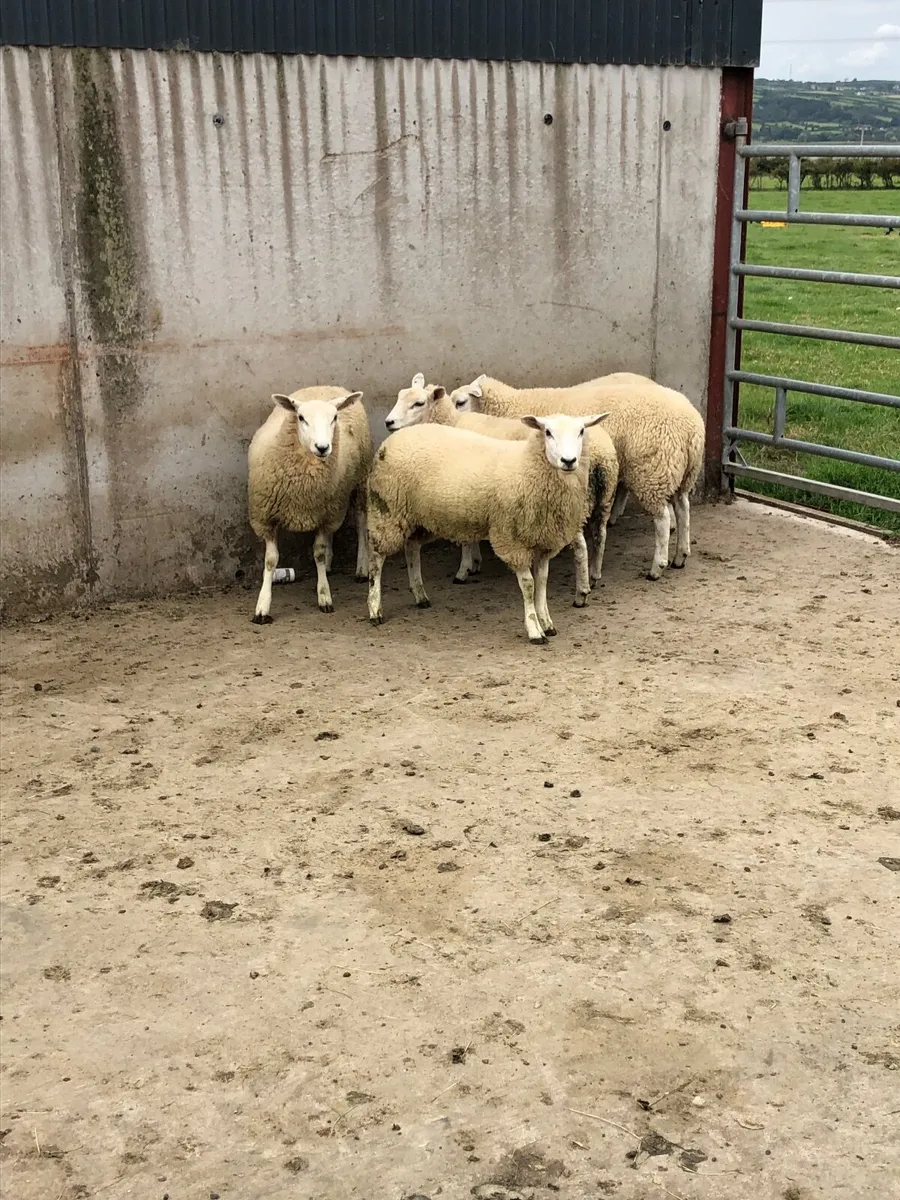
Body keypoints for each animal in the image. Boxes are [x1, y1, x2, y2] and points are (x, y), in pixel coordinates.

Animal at [247, 386, 373, 622]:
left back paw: (362, 567)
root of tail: (329, 387)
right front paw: (262, 606)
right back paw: (332, 564)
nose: (322, 447)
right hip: (331, 502)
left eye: (334, 418)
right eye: (301, 417)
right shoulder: (267, 518)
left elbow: (318, 554)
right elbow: (271, 561)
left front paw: (324, 596)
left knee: (361, 521)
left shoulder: (326, 514)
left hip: (359, 481)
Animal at [366, 412, 608, 645]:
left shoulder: (542, 541)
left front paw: (547, 623)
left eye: (581, 431)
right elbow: (529, 586)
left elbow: (542, 583)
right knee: (376, 559)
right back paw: (375, 609)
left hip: (421, 518)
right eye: (547, 432)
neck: (526, 466)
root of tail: (395, 437)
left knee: (412, 547)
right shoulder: (512, 541)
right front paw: (534, 630)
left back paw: (420, 595)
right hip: (386, 509)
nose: (569, 460)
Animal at [386, 374, 620, 602]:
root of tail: (602, 454)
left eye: (418, 403)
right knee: (600, 534)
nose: (389, 422)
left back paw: (581, 593)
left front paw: (463, 570)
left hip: (572, 505)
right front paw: (475, 562)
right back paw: (594, 576)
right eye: (398, 397)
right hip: (602, 499)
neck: (451, 422)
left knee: (581, 547)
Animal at [451, 373, 705, 581]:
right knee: (683, 507)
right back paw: (680, 555)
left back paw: (657, 567)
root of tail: (692, 425)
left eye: (460, 402)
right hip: (681, 472)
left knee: (662, 518)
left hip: (652, 471)